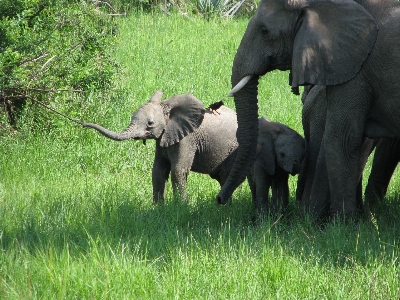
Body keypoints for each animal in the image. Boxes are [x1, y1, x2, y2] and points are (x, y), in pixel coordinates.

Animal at [81, 90, 239, 203]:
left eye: (150, 123)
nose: (82, 124)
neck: (168, 110)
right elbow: (158, 170)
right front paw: (157, 208)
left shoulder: (187, 139)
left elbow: (178, 170)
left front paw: (181, 207)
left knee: (226, 177)